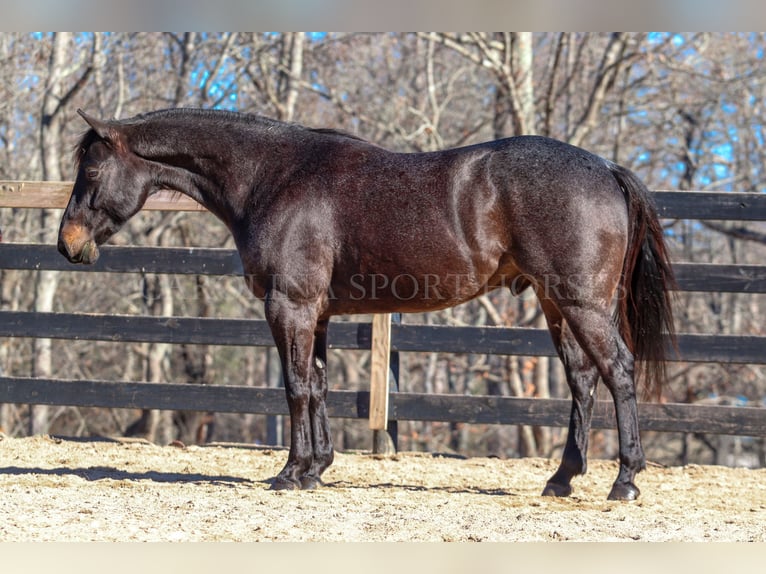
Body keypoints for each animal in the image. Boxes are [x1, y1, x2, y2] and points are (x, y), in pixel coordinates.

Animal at [57, 107, 676, 500]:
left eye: (91, 169)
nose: (67, 244)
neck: (273, 177)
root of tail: (606, 168)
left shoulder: (290, 307)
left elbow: (295, 387)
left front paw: (291, 473)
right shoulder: (317, 314)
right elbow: (319, 385)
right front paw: (317, 468)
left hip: (582, 303)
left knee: (618, 372)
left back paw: (625, 481)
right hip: (556, 304)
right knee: (582, 380)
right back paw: (562, 479)